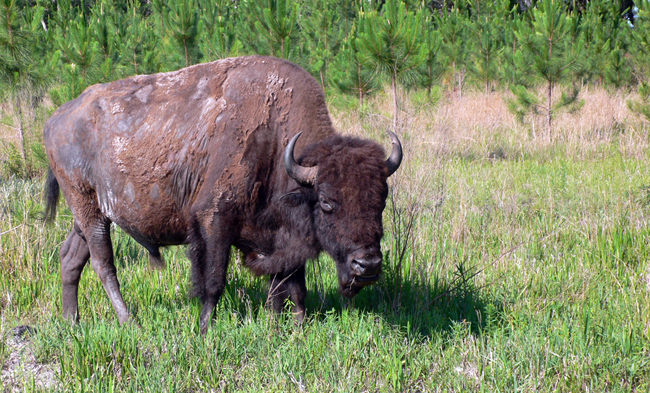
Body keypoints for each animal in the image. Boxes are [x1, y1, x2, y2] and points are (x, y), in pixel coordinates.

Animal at [43, 54, 400, 330]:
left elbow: (293, 286)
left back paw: (72, 321)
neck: (277, 145)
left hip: (90, 213)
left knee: (71, 257)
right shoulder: (215, 221)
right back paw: (129, 321)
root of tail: (56, 119)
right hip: (89, 210)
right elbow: (214, 281)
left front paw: (294, 327)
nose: (368, 265)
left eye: (381, 199)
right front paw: (205, 329)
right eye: (326, 202)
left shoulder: (284, 237)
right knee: (104, 264)